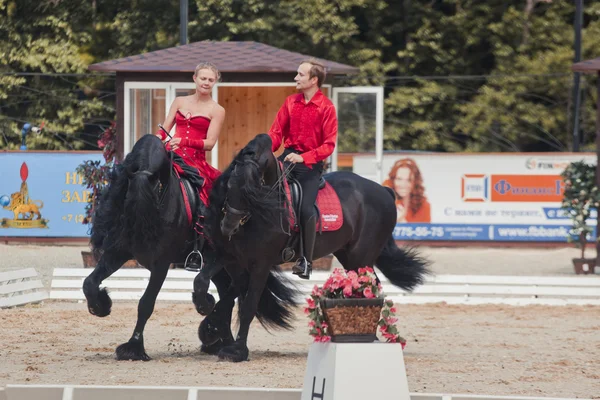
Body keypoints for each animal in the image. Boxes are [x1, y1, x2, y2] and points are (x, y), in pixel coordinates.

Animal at [83, 135, 298, 362]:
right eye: (126, 197)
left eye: (153, 194)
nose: (141, 241)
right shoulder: (119, 251)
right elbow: (89, 282)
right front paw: (100, 306)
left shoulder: (161, 263)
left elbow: (146, 303)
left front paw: (133, 348)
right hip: (222, 266)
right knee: (230, 291)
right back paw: (219, 340)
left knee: (236, 290)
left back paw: (215, 330)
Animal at [193, 134, 432, 362]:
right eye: (229, 186)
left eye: (250, 190)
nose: (227, 227)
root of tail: (385, 190)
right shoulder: (230, 255)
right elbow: (205, 282)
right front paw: (205, 311)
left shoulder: (261, 264)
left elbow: (248, 304)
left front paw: (237, 351)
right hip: (348, 256)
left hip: (361, 257)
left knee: (371, 288)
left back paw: (366, 337)